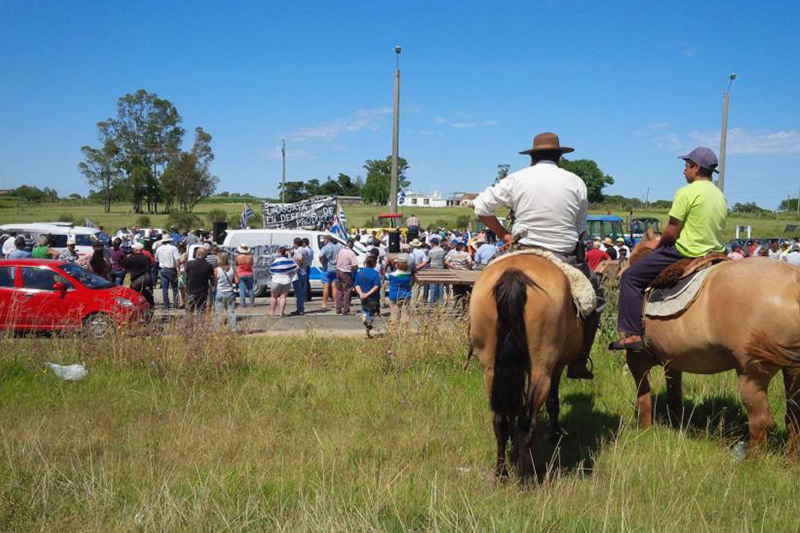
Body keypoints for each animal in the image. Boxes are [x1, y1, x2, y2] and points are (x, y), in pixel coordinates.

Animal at [468, 251, 580, 480]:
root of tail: (514, 273)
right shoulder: (556, 367)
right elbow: (553, 402)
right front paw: (554, 433)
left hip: (491, 369)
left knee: (500, 421)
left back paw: (502, 473)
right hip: (541, 369)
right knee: (528, 421)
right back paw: (524, 477)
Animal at [624, 234, 800, 458]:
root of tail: (794, 283)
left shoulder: (635, 359)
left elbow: (644, 399)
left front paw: (645, 432)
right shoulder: (672, 361)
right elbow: (674, 396)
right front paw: (675, 426)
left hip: (752, 373)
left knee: (761, 421)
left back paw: (751, 461)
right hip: (792, 372)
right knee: (793, 417)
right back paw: (790, 458)